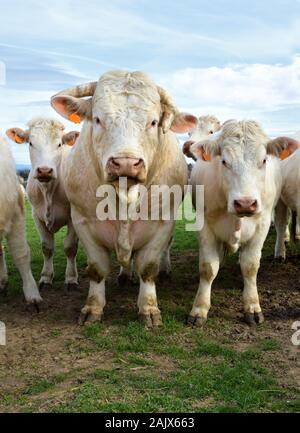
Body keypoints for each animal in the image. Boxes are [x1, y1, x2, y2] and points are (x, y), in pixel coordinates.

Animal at [7, 118, 79, 290]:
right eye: (31, 143)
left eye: (59, 144)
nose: (45, 170)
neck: (48, 191)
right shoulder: (36, 216)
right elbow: (47, 247)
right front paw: (46, 277)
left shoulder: (74, 216)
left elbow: (70, 247)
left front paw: (71, 278)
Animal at [50, 71, 198, 328]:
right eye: (98, 119)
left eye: (153, 122)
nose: (126, 163)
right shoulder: (83, 222)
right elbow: (97, 269)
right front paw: (93, 308)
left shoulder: (162, 223)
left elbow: (148, 268)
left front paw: (148, 309)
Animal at [189, 120, 296, 326]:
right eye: (224, 161)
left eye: (264, 160)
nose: (245, 203)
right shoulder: (204, 225)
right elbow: (208, 267)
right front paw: (199, 308)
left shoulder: (262, 224)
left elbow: (250, 265)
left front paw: (252, 307)